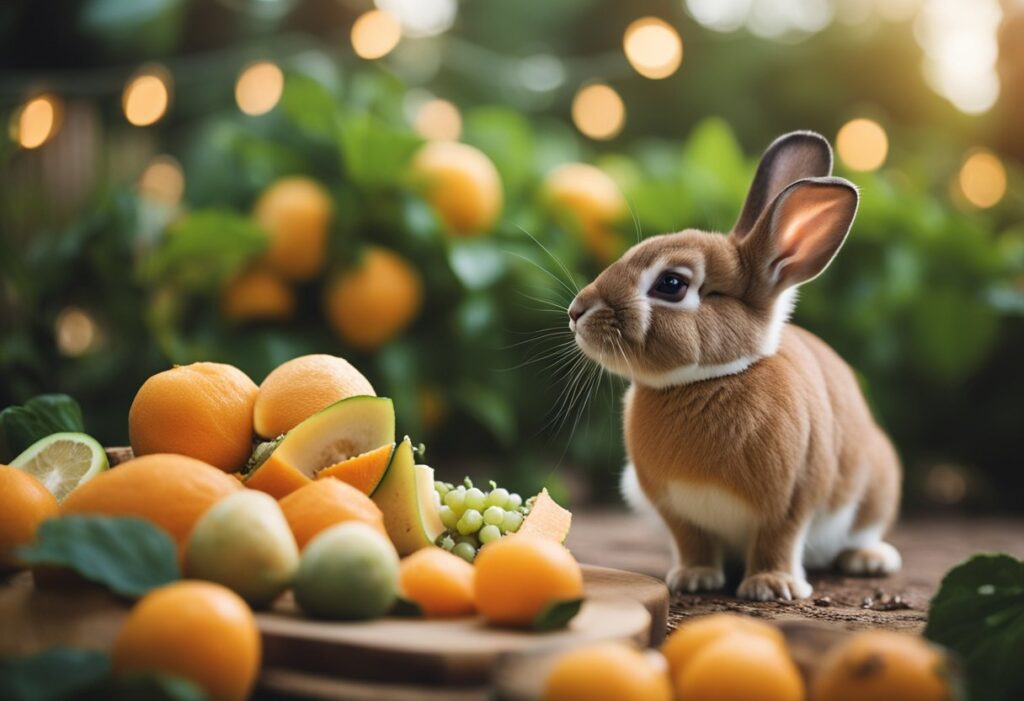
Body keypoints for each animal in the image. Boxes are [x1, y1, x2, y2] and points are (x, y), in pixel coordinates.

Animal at [567, 131, 902, 601]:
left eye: (671, 284)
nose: (576, 312)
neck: (710, 378)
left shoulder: (792, 498)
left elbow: (778, 539)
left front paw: (772, 586)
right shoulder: (672, 508)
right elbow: (692, 541)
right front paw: (693, 578)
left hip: (875, 487)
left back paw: (870, 559)